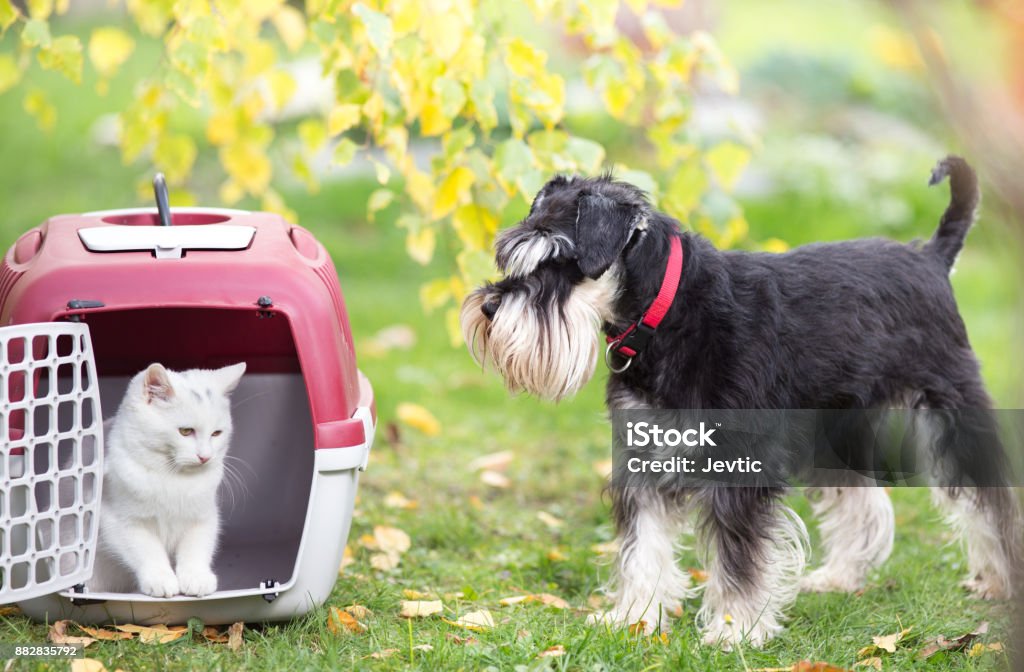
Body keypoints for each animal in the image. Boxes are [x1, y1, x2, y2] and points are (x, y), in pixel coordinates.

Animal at [89, 362, 245, 598]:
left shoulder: (202, 516)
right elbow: (146, 549)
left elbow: (196, 546)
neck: (172, 476)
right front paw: (160, 579)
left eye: (217, 433)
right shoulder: (120, 522)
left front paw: (196, 577)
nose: (205, 457)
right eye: (186, 431)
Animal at [462, 157, 1015, 647]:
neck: (668, 312)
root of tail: (931, 256)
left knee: (989, 500)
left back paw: (1000, 580)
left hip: (948, 407)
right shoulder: (643, 457)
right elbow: (643, 547)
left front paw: (736, 631)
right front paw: (634, 618)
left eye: (559, 260)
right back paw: (839, 577)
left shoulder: (738, 468)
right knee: (862, 501)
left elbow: (738, 560)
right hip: (834, 423)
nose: (489, 306)